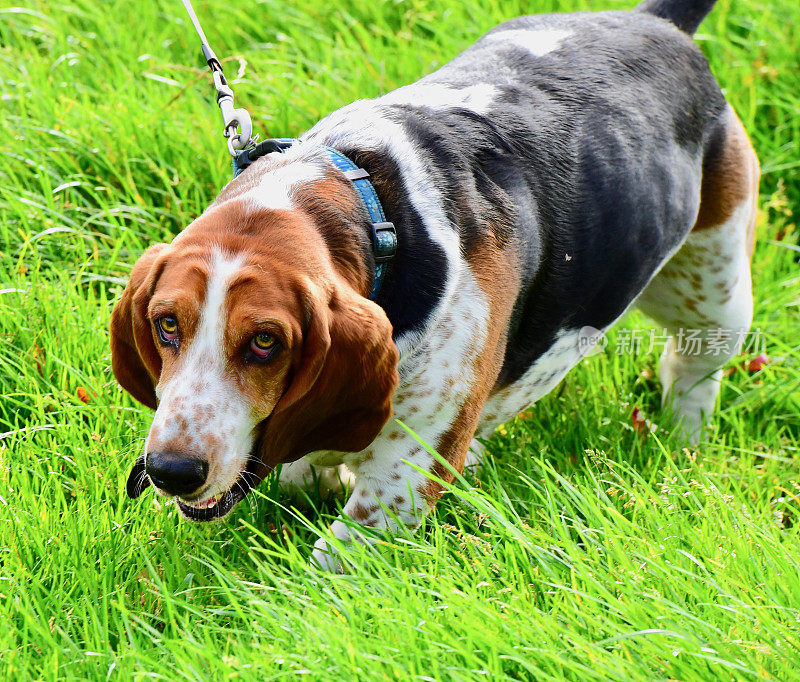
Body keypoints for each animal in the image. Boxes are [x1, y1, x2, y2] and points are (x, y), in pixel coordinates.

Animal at [111, 0, 756, 564]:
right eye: (167, 325)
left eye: (266, 341)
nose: (171, 471)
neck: (374, 210)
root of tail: (655, 22)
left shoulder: (399, 481)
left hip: (717, 293)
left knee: (691, 367)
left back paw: (681, 436)